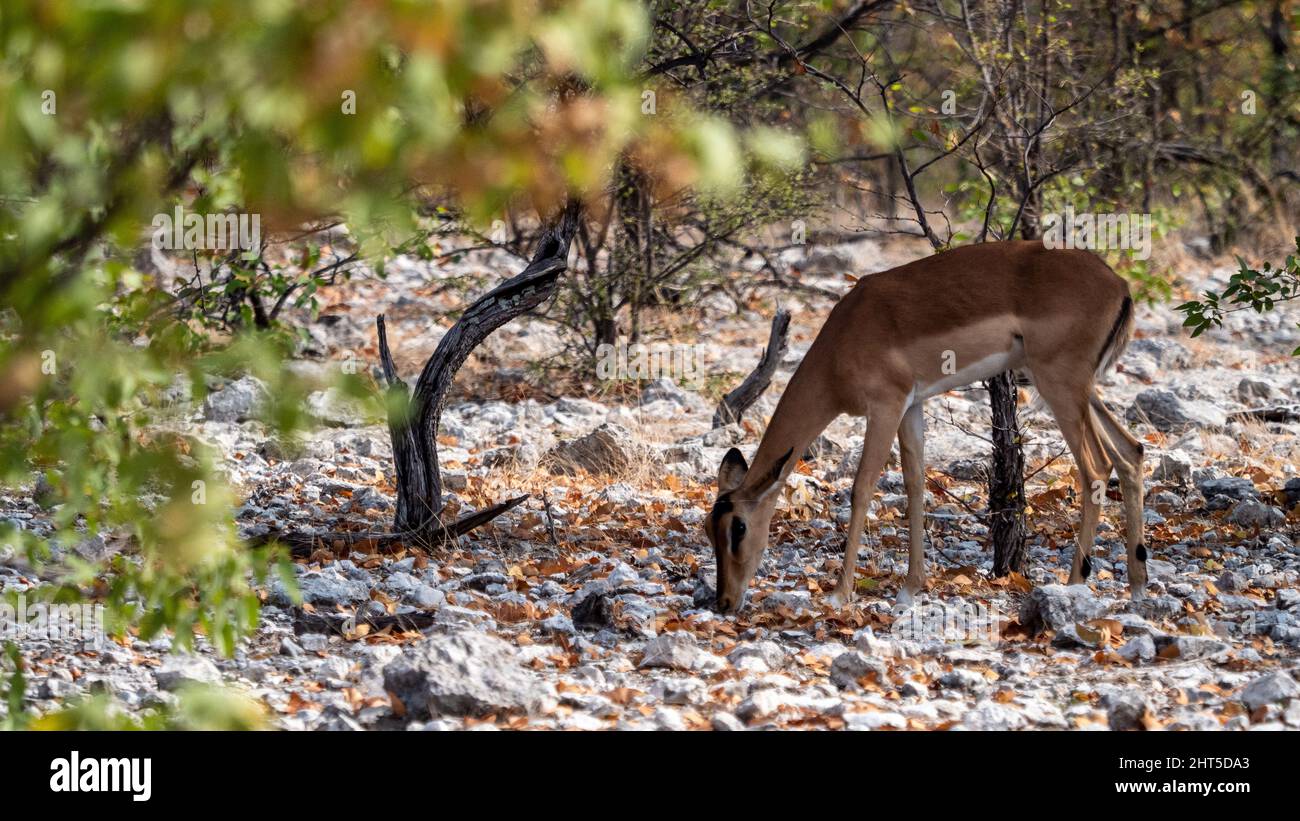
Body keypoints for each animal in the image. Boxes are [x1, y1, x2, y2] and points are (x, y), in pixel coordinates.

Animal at [706, 240, 1148, 613]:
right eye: (709, 530)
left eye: (738, 528)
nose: (724, 602)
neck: (842, 342)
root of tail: (1119, 284)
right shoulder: (911, 406)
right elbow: (915, 483)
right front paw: (910, 588)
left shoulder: (885, 406)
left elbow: (862, 488)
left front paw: (839, 594)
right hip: (1076, 389)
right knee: (1131, 451)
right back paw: (1138, 586)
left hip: (1060, 384)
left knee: (1096, 468)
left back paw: (1073, 585)